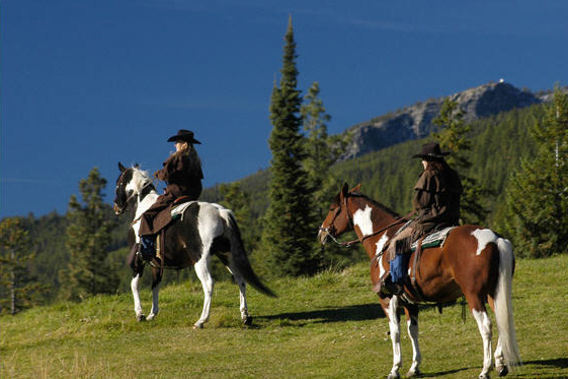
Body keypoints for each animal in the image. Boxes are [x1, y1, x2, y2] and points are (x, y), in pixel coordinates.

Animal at [318, 183, 520, 378]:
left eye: (332, 208)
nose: (321, 233)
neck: (382, 240)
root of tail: (495, 239)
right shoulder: (410, 302)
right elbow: (412, 331)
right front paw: (414, 367)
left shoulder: (388, 300)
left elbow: (395, 333)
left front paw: (395, 369)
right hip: (493, 292)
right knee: (502, 318)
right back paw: (500, 364)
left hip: (474, 295)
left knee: (486, 326)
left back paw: (485, 369)